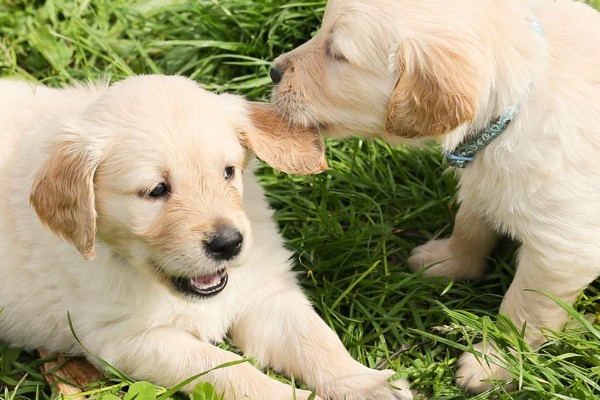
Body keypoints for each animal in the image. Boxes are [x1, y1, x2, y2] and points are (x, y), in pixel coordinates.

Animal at [0, 75, 412, 400]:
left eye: (228, 171)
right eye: (156, 190)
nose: (228, 244)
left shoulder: (266, 292)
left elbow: (317, 340)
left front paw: (368, 384)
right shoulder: (126, 339)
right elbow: (226, 367)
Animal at [270, 0, 600, 394]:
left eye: (337, 54)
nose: (272, 71)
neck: (514, 107)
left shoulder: (562, 252)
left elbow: (524, 310)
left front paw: (497, 361)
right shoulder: (482, 182)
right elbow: (469, 226)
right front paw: (448, 262)